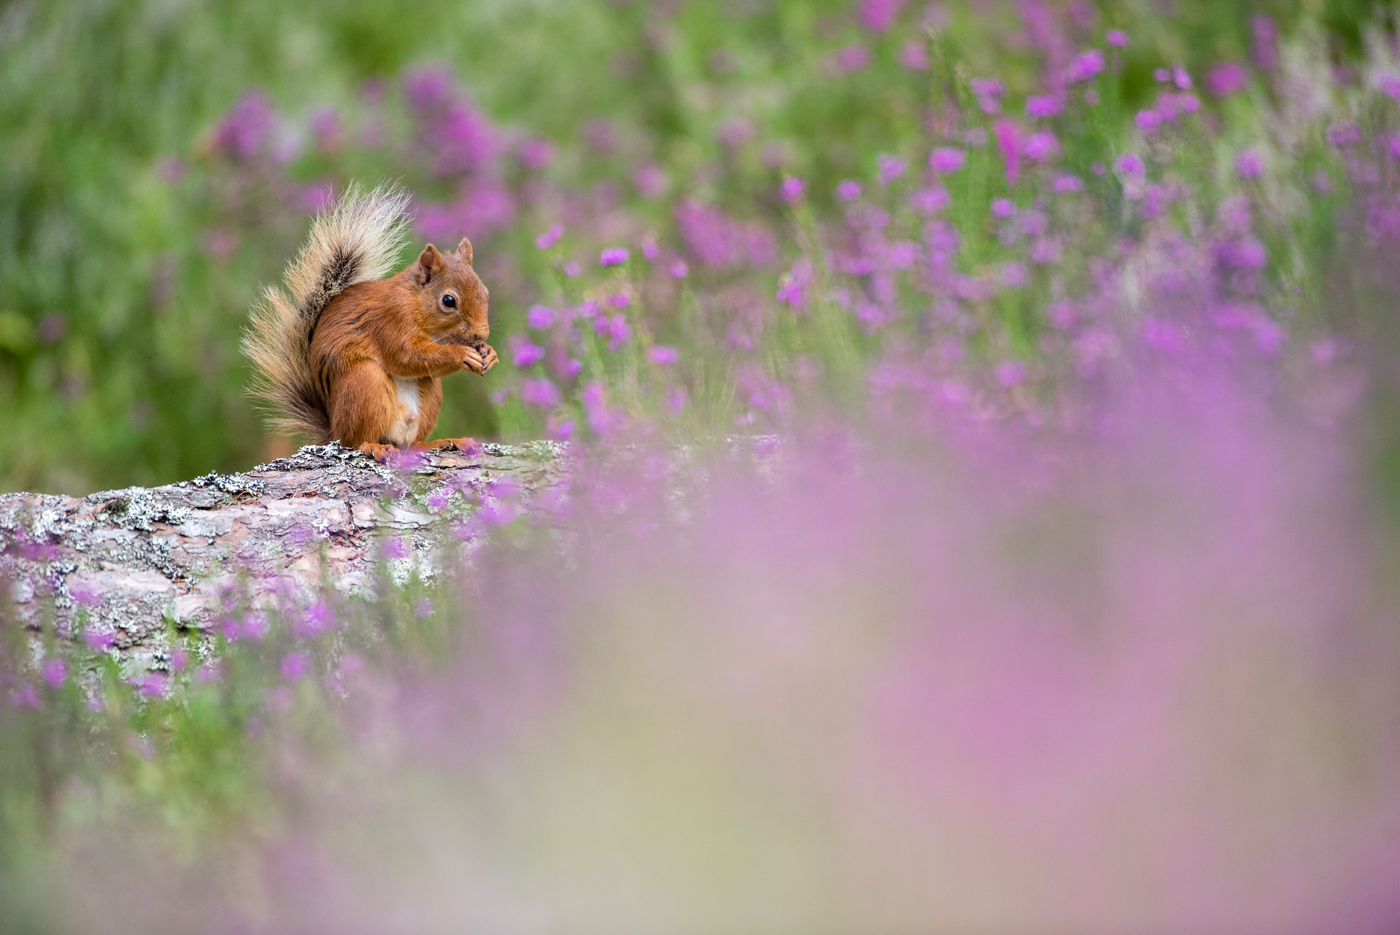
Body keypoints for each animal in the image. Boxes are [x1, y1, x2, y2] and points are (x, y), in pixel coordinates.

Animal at [245, 183, 498, 459]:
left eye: (486, 292)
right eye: (449, 300)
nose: (481, 334)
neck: (415, 304)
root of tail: (334, 433)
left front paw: (489, 352)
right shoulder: (389, 321)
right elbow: (406, 356)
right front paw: (461, 354)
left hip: (430, 392)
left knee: (413, 443)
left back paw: (442, 442)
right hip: (365, 383)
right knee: (357, 441)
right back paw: (374, 446)